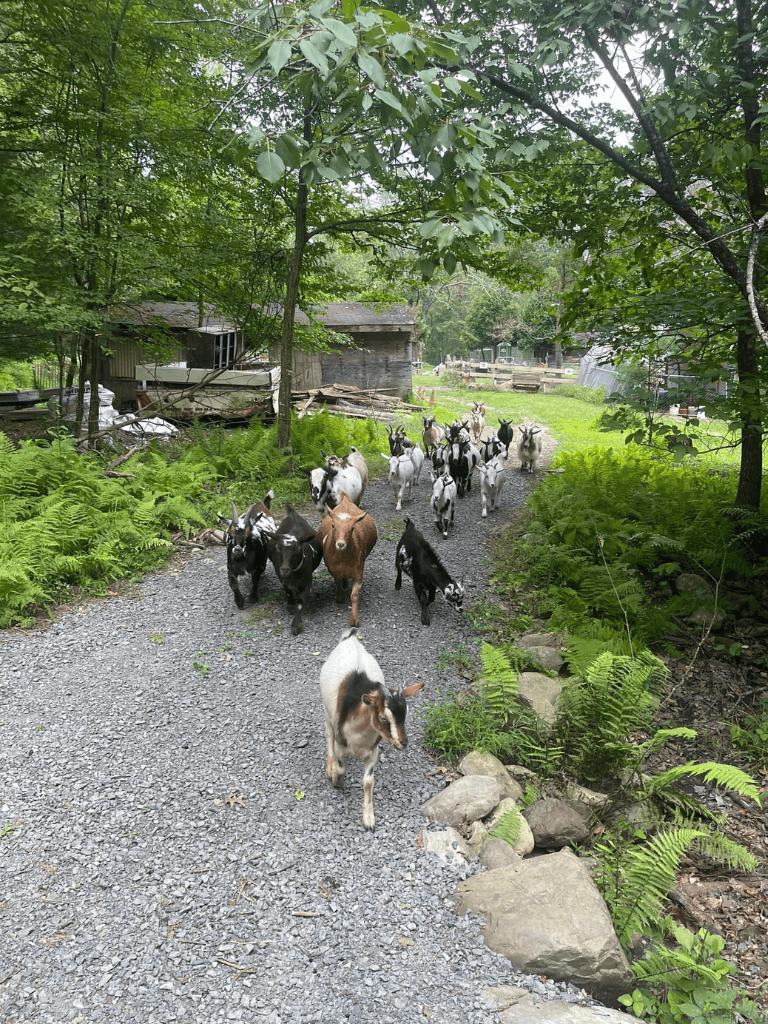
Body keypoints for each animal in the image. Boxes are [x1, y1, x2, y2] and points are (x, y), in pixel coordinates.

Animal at [267, 506, 323, 635]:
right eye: (277, 548)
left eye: (298, 550)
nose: (285, 569)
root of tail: (292, 514)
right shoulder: (283, 579)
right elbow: (288, 591)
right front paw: (290, 605)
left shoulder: (307, 582)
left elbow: (300, 602)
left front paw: (296, 625)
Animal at [315, 493, 378, 627]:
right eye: (333, 525)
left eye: (352, 528)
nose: (340, 544)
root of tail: (345, 501)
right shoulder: (333, 570)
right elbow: (338, 582)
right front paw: (339, 597)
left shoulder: (358, 572)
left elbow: (354, 595)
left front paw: (354, 619)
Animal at [320, 628, 424, 830]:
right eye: (383, 718)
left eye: (406, 713)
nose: (403, 742)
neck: (359, 740)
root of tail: (351, 638)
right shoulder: (340, 744)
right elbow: (340, 767)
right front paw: (336, 780)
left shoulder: (372, 753)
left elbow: (368, 782)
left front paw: (368, 818)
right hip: (327, 711)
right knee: (328, 734)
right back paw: (329, 766)